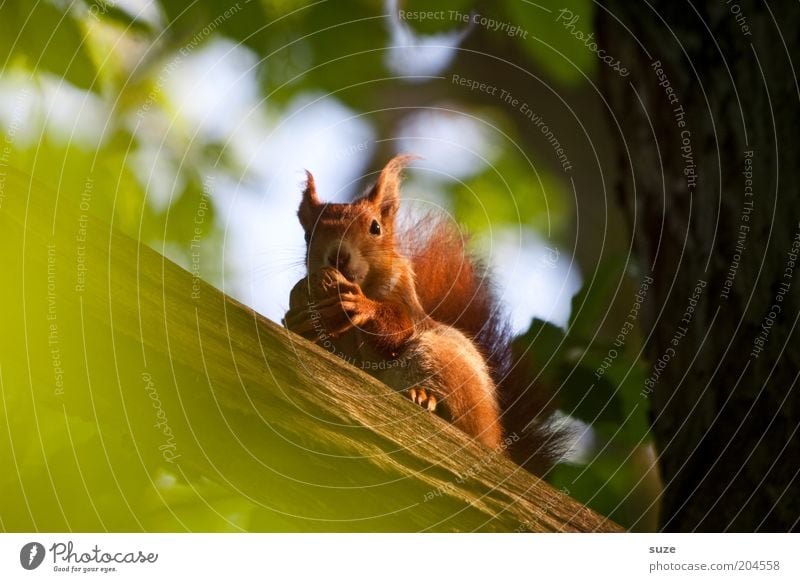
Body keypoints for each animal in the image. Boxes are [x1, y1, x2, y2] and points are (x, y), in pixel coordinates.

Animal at [284, 156, 564, 480]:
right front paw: (297, 320)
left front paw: (361, 306)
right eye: (309, 235)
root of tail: (496, 442)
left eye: (375, 227)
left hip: (441, 359)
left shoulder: (406, 305)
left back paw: (425, 397)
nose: (338, 256)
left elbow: (398, 331)